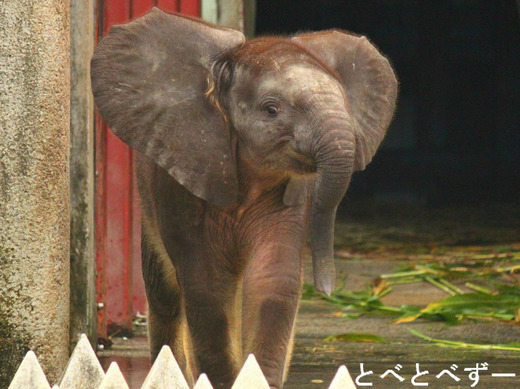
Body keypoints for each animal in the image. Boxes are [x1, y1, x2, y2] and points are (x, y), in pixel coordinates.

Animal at [90, 6, 398, 388]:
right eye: (271, 110)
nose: (328, 290)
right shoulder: (181, 177)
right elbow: (205, 287)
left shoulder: (292, 193)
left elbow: (273, 278)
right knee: (164, 291)